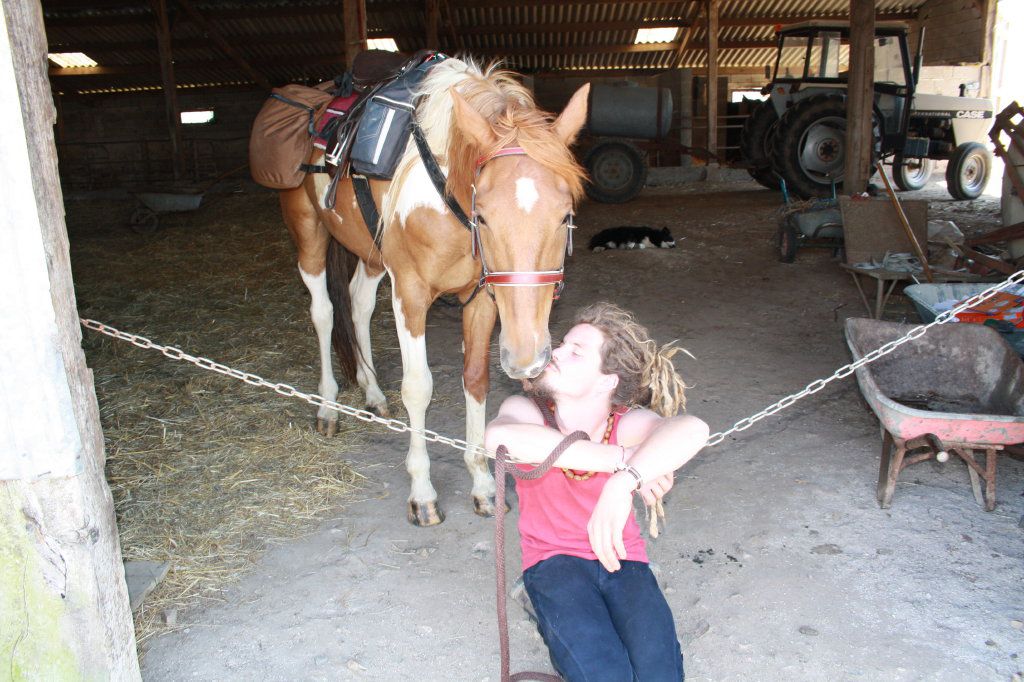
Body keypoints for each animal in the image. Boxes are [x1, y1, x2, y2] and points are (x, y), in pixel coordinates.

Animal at [277, 57, 589, 525]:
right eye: (483, 216)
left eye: (565, 214)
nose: (526, 357)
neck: (446, 198)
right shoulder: (410, 293)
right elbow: (418, 387)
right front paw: (422, 492)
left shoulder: (481, 298)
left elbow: (475, 379)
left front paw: (483, 484)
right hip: (310, 235)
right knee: (325, 313)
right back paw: (328, 406)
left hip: (372, 255)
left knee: (358, 303)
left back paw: (372, 393)